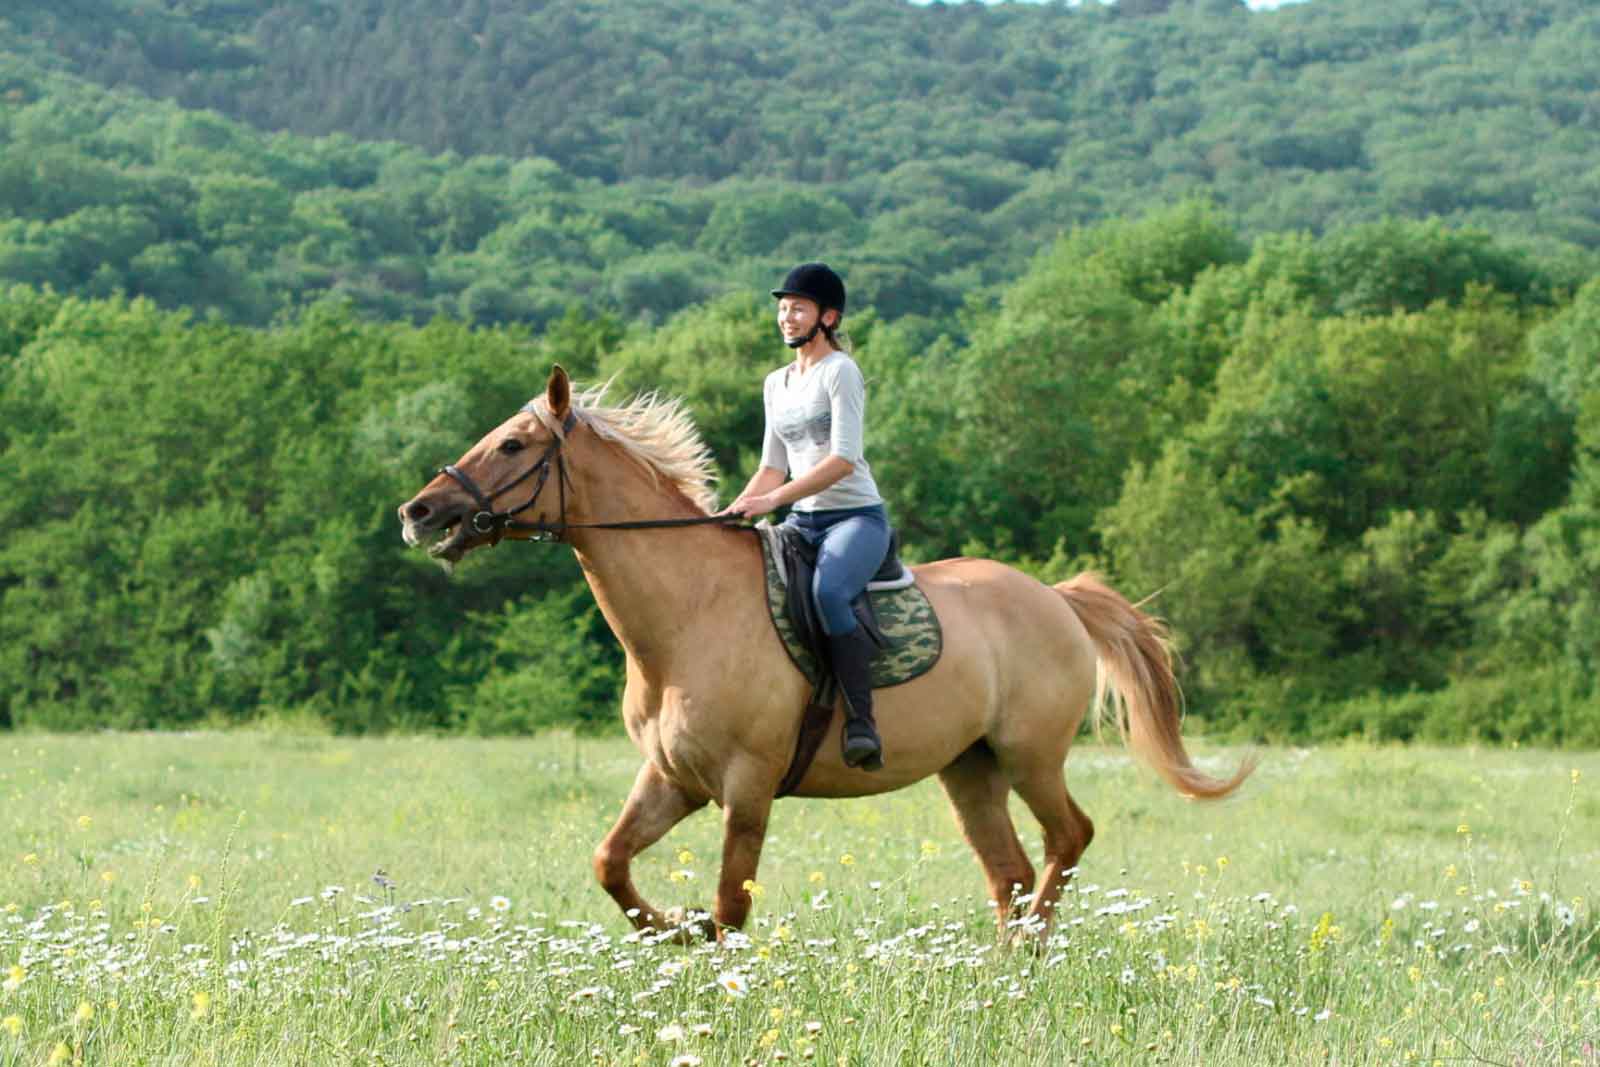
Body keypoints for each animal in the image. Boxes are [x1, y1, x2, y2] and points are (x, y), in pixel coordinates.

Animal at [396, 369, 1248, 940]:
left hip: (1029, 753)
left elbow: (732, 902)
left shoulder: (746, 785)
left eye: (513, 443)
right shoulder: (673, 777)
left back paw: (1034, 948)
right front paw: (674, 927)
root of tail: (1056, 597)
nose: (419, 511)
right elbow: (611, 863)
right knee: (1008, 870)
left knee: (1067, 838)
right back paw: (1004, 970)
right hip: (969, 767)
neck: (688, 614)